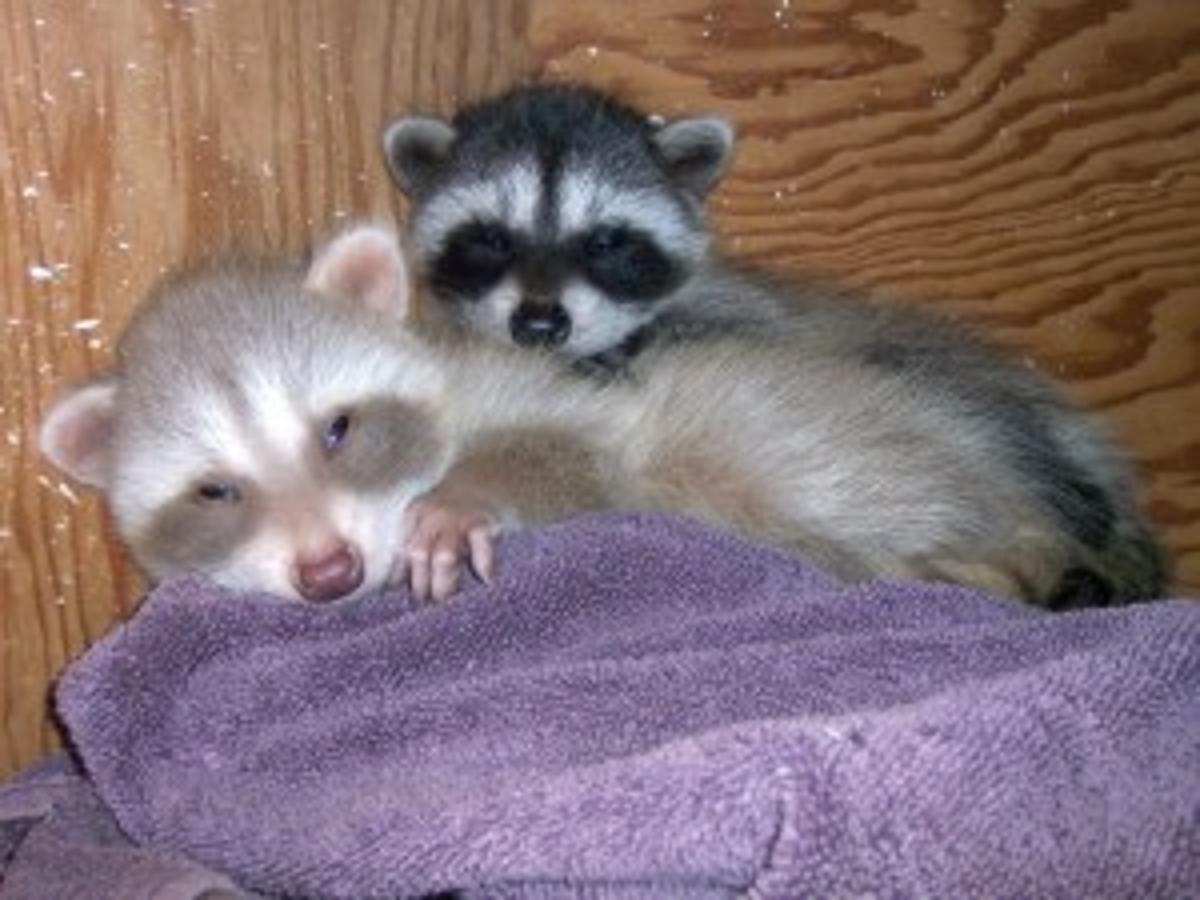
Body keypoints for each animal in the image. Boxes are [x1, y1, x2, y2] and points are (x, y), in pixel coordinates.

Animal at [41, 225, 1164, 607]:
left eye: (338, 429)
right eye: (213, 490)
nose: (329, 574)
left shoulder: (567, 390)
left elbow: (573, 450)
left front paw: (462, 501)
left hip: (858, 445)